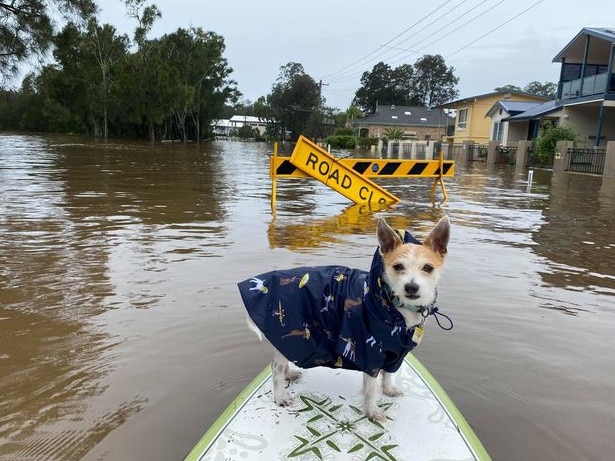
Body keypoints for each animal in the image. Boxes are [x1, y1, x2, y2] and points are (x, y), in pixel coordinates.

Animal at [238, 216, 450, 420]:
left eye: (428, 268)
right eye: (398, 266)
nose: (411, 287)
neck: (393, 309)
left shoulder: (396, 353)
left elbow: (389, 374)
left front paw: (388, 390)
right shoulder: (370, 355)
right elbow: (371, 390)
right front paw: (372, 412)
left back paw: (288, 375)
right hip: (288, 331)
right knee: (276, 368)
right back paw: (280, 396)